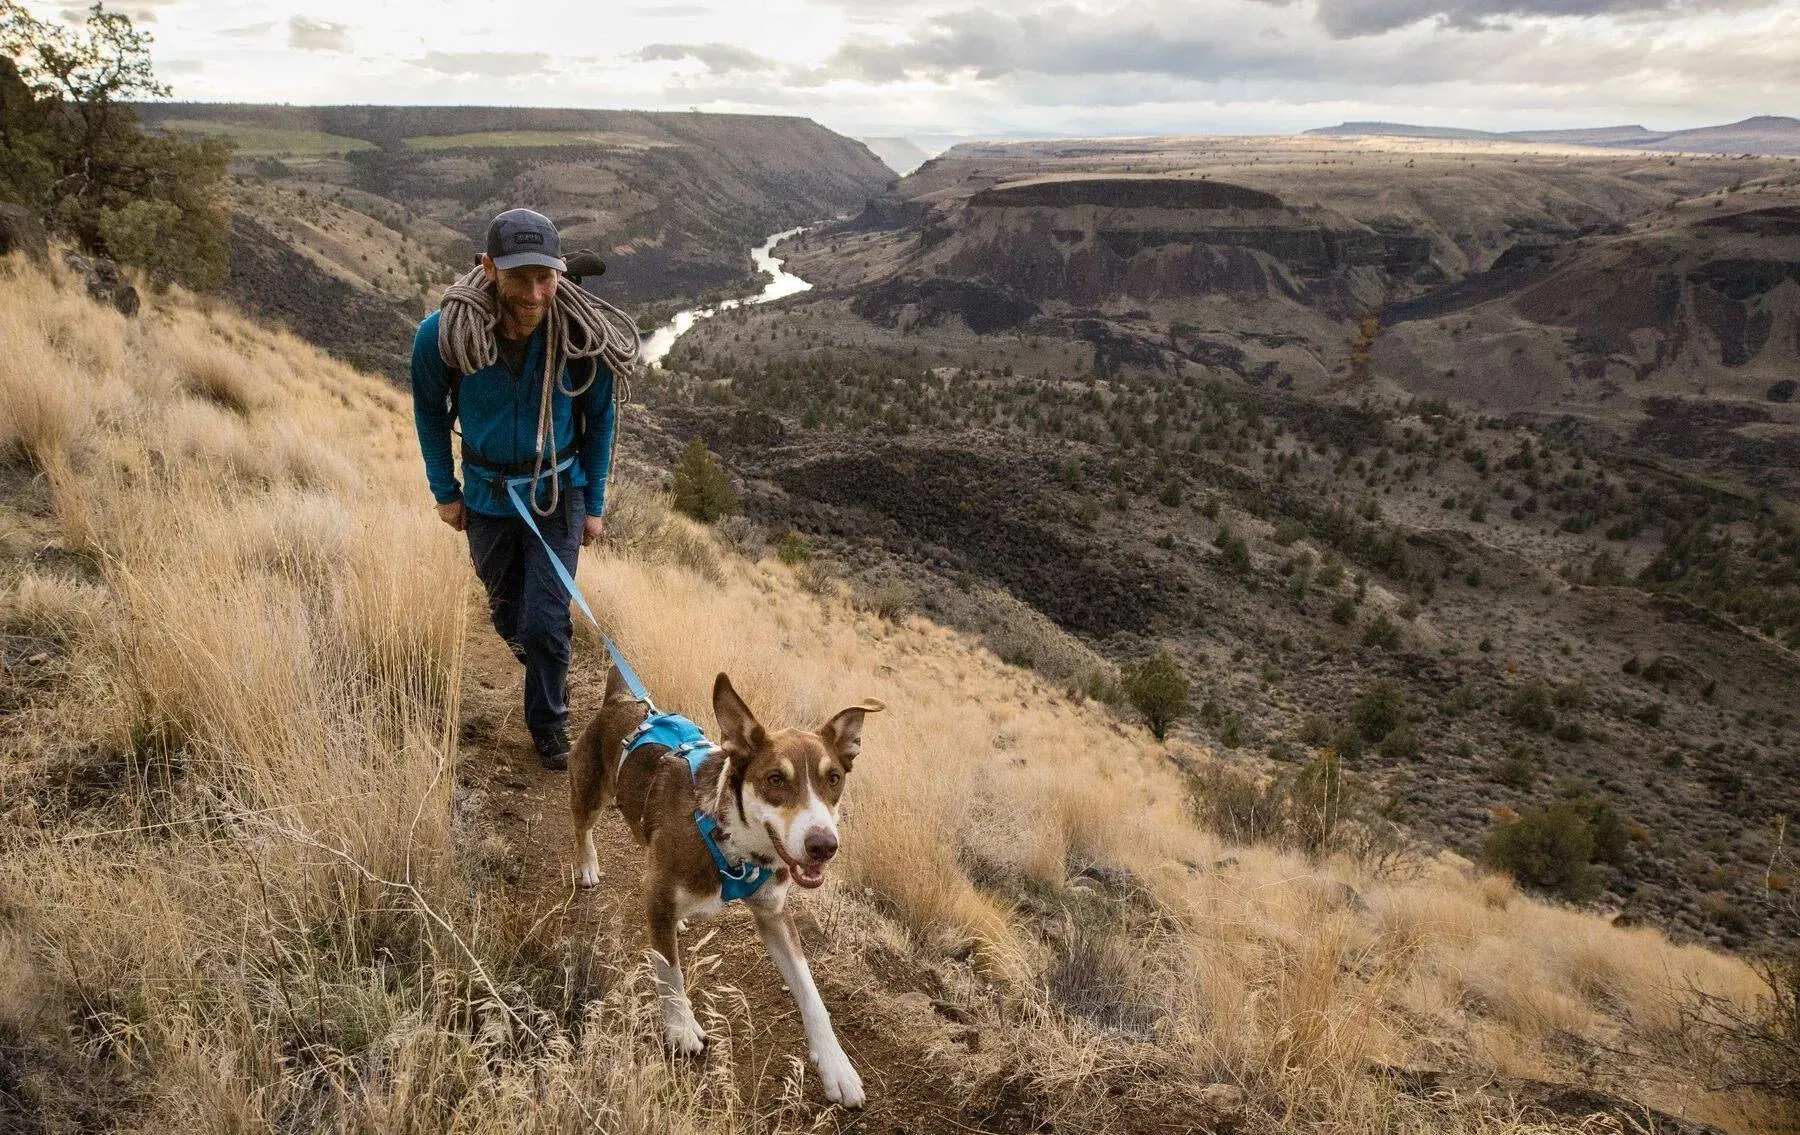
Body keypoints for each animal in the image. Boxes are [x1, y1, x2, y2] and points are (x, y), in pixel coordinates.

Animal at [572, 665, 882, 1108]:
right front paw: (681, 1026)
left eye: (834, 779)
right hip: (590, 792)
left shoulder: (775, 915)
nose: (823, 845)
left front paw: (836, 1066)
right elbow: (669, 972)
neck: (733, 842)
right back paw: (588, 864)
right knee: (582, 826)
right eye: (775, 779)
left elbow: (811, 993)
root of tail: (618, 700)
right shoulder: (660, 894)